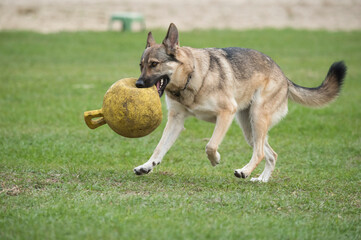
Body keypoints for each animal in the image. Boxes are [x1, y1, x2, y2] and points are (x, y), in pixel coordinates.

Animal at [133, 23, 346, 183]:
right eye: (141, 65)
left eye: (154, 64)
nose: (138, 84)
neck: (192, 76)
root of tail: (284, 77)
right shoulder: (176, 120)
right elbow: (159, 148)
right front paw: (146, 166)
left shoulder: (226, 113)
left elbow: (210, 145)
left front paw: (215, 159)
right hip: (250, 129)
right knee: (271, 154)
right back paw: (261, 179)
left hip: (257, 118)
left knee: (260, 153)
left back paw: (245, 171)